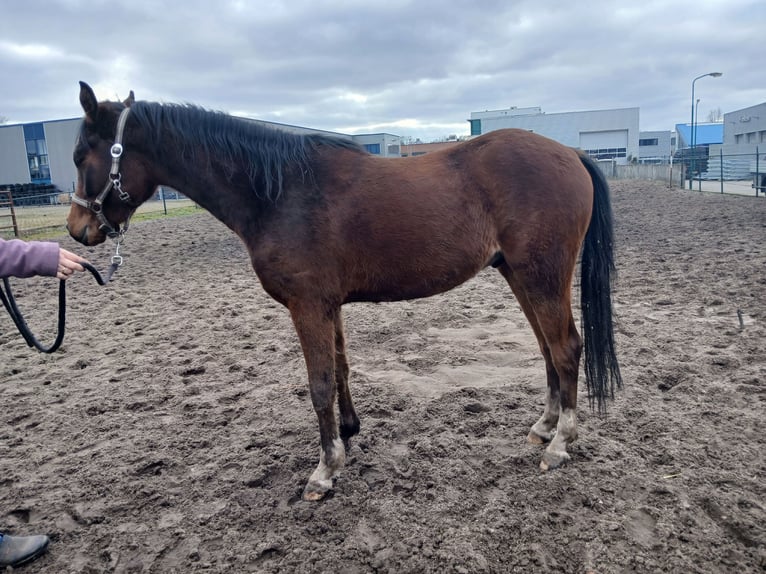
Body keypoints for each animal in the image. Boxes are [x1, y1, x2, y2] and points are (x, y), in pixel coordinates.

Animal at [69, 83, 624, 502]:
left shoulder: (307, 306)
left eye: (80, 155)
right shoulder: (327, 305)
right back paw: (545, 427)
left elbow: (318, 384)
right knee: (548, 349)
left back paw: (559, 445)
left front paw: (325, 468)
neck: (278, 191)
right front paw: (350, 433)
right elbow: (339, 370)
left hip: (540, 276)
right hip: (519, 275)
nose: (78, 229)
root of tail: (570, 153)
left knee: (565, 348)